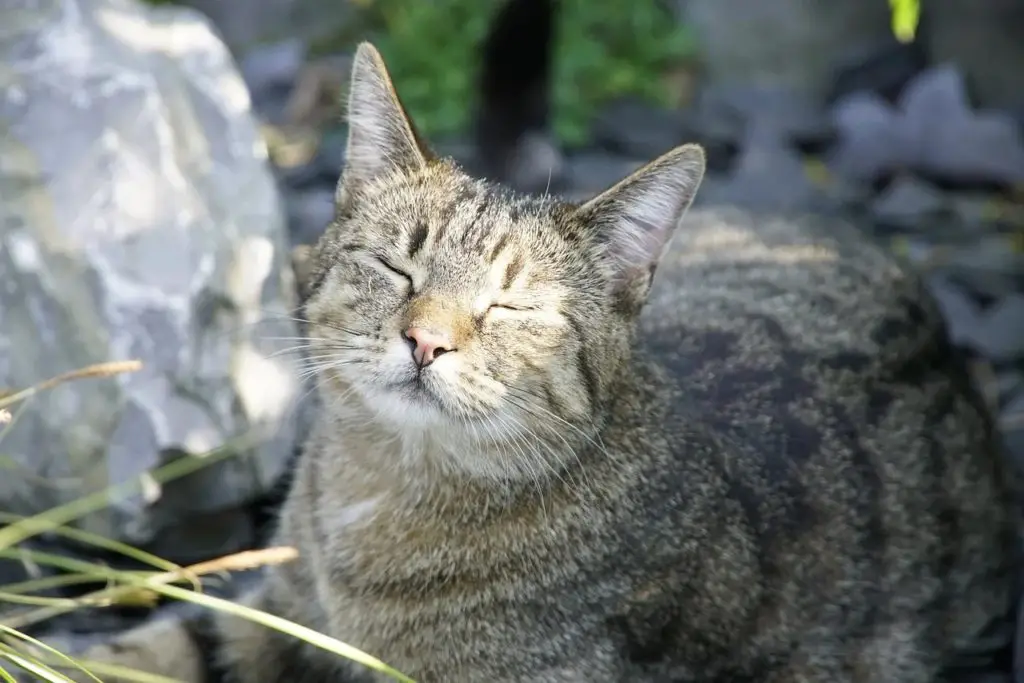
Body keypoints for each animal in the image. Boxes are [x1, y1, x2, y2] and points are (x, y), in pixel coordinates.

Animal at [54, 36, 1015, 683]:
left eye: (509, 307)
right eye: (397, 266)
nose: (426, 338)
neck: (386, 493)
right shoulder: (273, 611)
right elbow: (149, 645)